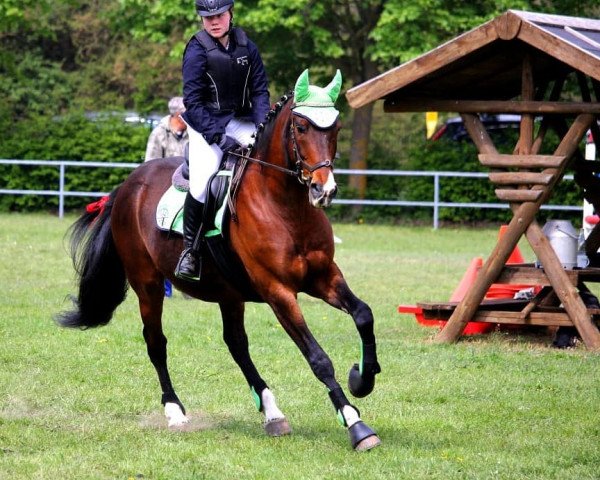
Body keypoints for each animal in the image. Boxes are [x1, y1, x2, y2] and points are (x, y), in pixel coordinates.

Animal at [58, 71, 382, 450]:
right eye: (301, 127)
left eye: (336, 128)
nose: (323, 189)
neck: (285, 206)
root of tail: (128, 185)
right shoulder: (279, 292)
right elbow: (318, 358)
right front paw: (356, 425)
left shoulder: (324, 277)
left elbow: (363, 314)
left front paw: (363, 378)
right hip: (148, 285)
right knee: (156, 342)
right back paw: (175, 411)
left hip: (229, 293)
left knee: (236, 345)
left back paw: (272, 413)